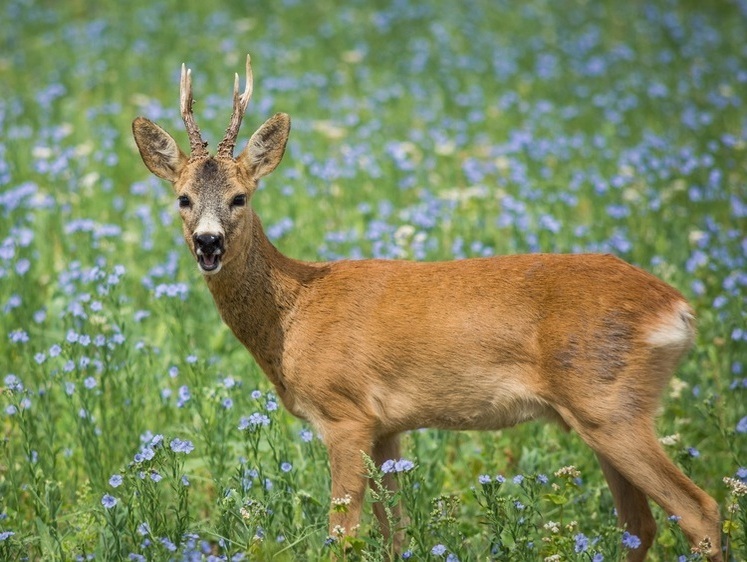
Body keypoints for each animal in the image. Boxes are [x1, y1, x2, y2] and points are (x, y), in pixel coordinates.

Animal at [131, 54, 720, 556]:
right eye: (183, 198)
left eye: (240, 197)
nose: (208, 243)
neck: (293, 313)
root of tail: (678, 308)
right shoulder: (387, 425)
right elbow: (398, 532)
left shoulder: (345, 414)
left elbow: (343, 536)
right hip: (601, 414)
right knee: (640, 526)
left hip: (610, 404)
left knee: (701, 511)